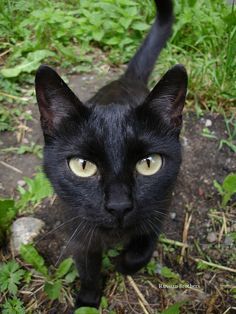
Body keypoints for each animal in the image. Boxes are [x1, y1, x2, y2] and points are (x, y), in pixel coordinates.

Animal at [35, 0, 188, 310]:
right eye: (82, 166)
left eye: (149, 164)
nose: (119, 206)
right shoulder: (79, 232)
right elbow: (88, 270)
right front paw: (87, 301)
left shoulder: (160, 206)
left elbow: (142, 250)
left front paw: (123, 264)